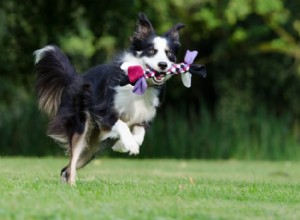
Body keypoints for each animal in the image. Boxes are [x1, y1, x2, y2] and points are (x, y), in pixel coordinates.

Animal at [34, 12, 185, 183]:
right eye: (151, 51)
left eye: (169, 54)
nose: (163, 65)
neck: (140, 83)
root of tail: (76, 79)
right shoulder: (104, 111)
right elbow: (122, 124)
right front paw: (129, 144)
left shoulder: (144, 116)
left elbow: (139, 135)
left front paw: (122, 145)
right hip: (81, 126)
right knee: (71, 164)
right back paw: (72, 185)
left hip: (92, 148)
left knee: (65, 169)